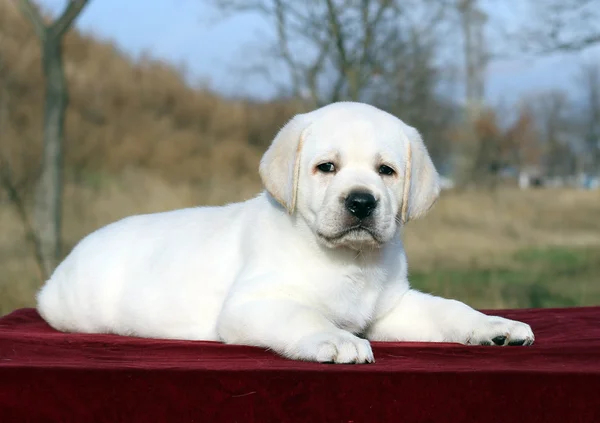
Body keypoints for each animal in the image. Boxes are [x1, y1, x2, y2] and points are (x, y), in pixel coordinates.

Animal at [37, 102, 536, 364]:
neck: (349, 260)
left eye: (387, 171)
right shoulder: (252, 305)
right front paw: (339, 340)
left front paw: (494, 326)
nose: (361, 202)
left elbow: (449, 308)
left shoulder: (390, 309)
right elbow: (304, 316)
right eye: (326, 167)